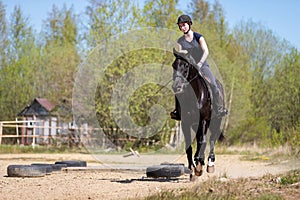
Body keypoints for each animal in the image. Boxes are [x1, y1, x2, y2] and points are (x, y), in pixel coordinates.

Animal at [171, 48, 225, 180]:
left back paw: (209, 163)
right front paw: (192, 168)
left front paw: (199, 166)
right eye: (173, 65)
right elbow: (189, 146)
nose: (176, 87)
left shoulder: (204, 120)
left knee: (211, 139)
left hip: (215, 121)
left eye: (186, 66)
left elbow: (202, 141)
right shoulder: (185, 123)